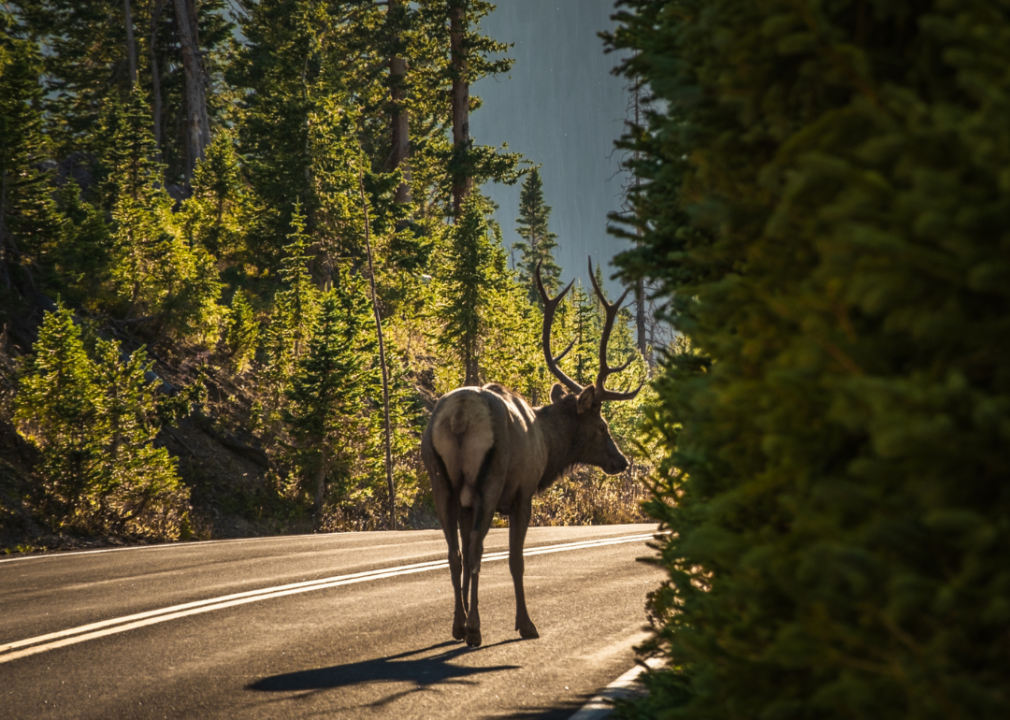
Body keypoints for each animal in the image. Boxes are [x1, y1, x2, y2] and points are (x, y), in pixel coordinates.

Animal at [420, 256, 642, 646]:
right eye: (602, 427)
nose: (621, 461)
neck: (548, 446)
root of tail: (459, 416)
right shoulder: (523, 493)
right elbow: (515, 559)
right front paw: (525, 624)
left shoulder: (464, 500)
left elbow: (461, 554)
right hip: (490, 479)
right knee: (476, 549)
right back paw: (475, 629)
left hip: (440, 479)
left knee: (454, 553)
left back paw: (458, 625)